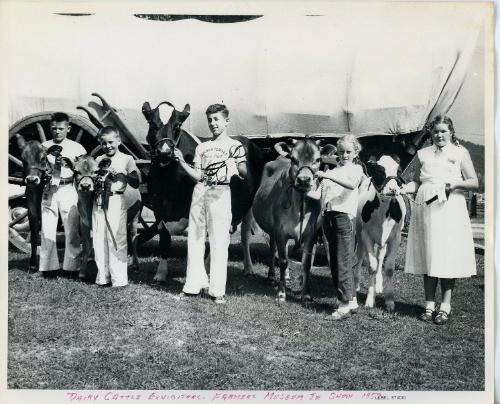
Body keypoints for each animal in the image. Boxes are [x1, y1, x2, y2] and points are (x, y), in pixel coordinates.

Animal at [254, 140, 336, 302]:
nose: (304, 180)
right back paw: (272, 276)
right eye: (293, 159)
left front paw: (306, 294)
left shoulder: (311, 233)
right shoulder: (280, 230)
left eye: (318, 159)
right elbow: (284, 260)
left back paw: (285, 277)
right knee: (273, 251)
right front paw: (281, 293)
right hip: (272, 230)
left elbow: (306, 263)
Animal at [356, 155, 406, 312]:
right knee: (360, 257)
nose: (393, 189)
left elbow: (388, 268)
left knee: (380, 258)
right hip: (359, 234)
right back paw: (356, 284)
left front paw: (389, 300)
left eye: (399, 171)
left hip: (383, 243)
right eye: (379, 170)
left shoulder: (396, 238)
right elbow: (372, 266)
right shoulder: (366, 236)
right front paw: (369, 299)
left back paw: (378, 285)